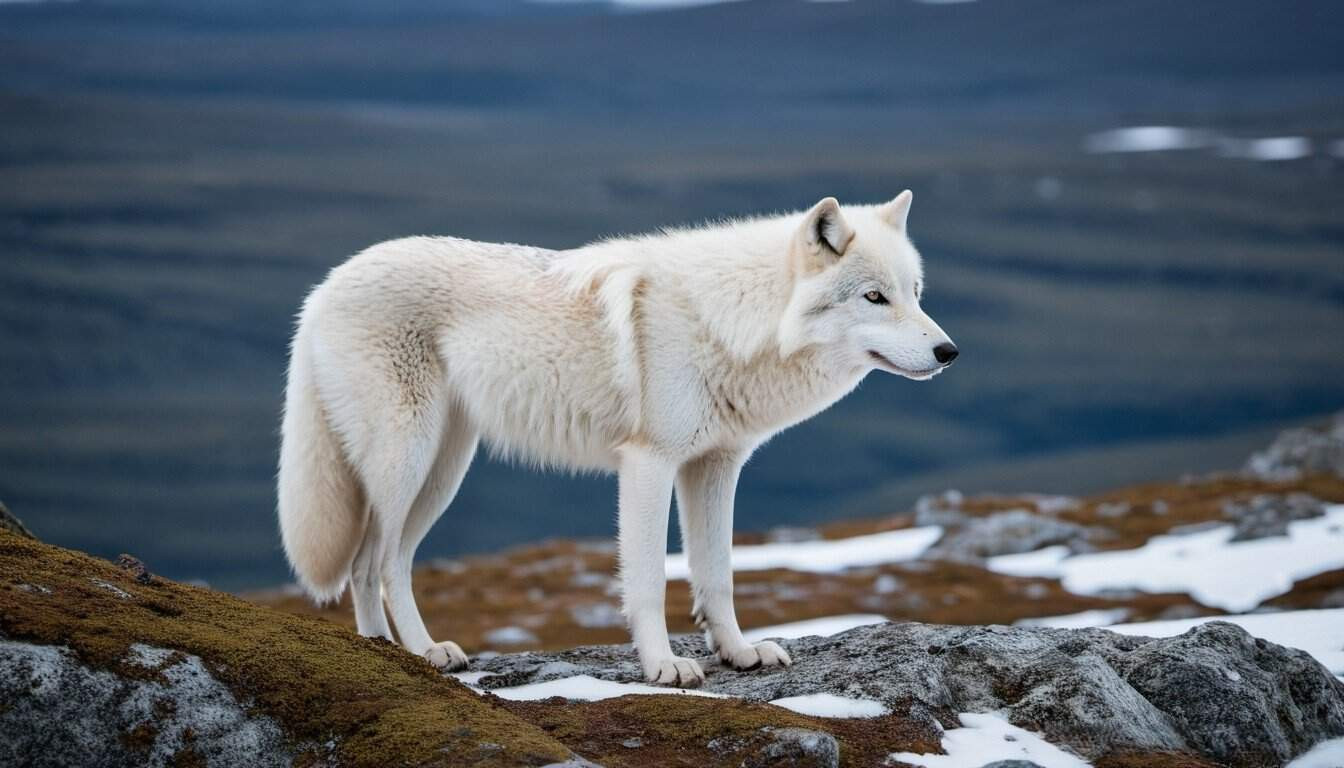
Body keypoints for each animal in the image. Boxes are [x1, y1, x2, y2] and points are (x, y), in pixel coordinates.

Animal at [278, 192, 962, 685]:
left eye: (915, 294)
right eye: (874, 297)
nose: (949, 352)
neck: (735, 320)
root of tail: (321, 290)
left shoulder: (715, 466)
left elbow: (717, 574)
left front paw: (739, 653)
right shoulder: (649, 465)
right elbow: (651, 581)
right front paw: (663, 666)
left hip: (444, 470)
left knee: (373, 563)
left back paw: (385, 653)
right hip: (408, 460)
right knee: (378, 563)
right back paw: (422, 652)